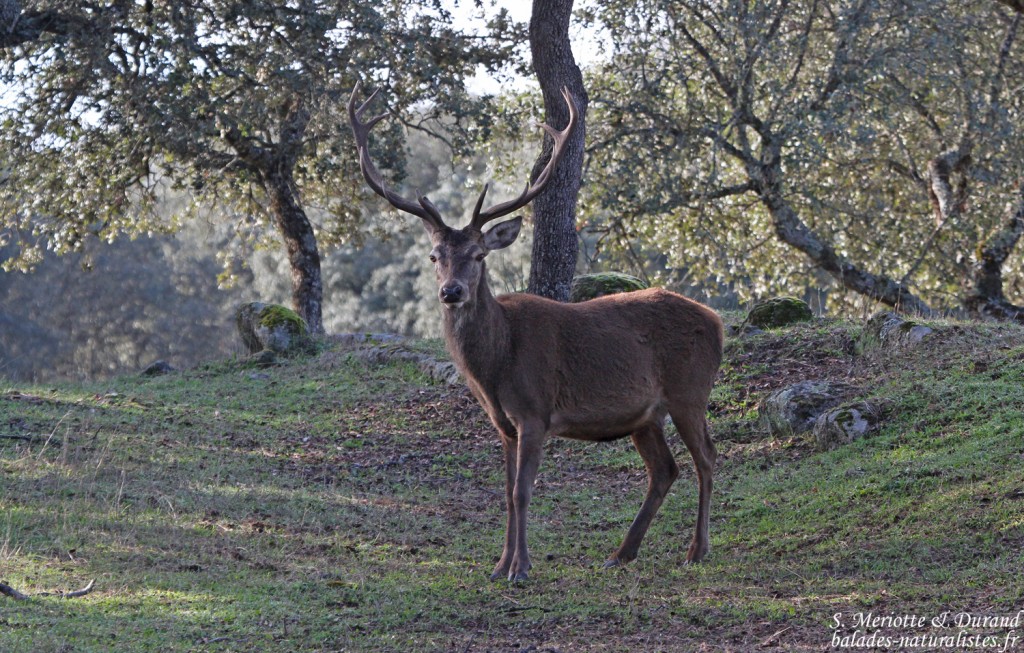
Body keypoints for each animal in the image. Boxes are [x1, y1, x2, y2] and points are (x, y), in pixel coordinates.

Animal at [349, 83, 723, 582]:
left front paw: (520, 567)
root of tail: (717, 321)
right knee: (664, 469)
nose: (452, 291)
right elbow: (506, 494)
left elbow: (523, 492)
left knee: (706, 458)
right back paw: (622, 552)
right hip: (645, 414)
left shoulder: (535, 411)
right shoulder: (503, 423)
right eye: (434, 256)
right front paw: (498, 565)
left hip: (690, 391)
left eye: (479, 255)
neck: (497, 366)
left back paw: (697, 549)